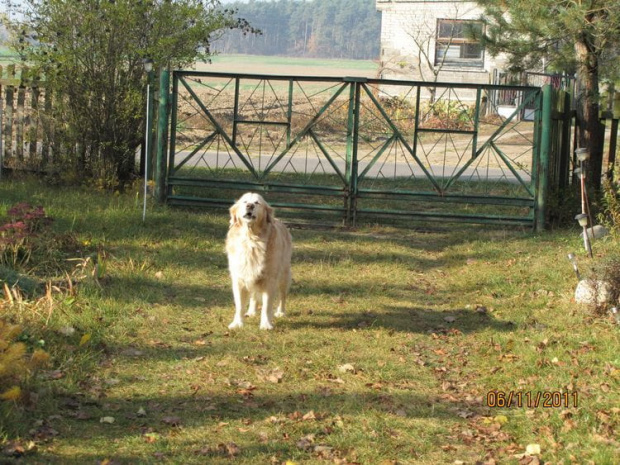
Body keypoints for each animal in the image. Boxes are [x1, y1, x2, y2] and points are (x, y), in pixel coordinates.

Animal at [225, 192, 294, 330]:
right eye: (245, 201)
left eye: (257, 203)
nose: (250, 206)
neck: (251, 239)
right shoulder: (240, 278)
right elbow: (239, 305)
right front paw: (237, 323)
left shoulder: (270, 279)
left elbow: (267, 305)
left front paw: (266, 324)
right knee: (254, 295)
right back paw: (251, 311)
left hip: (284, 274)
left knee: (282, 295)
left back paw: (281, 312)